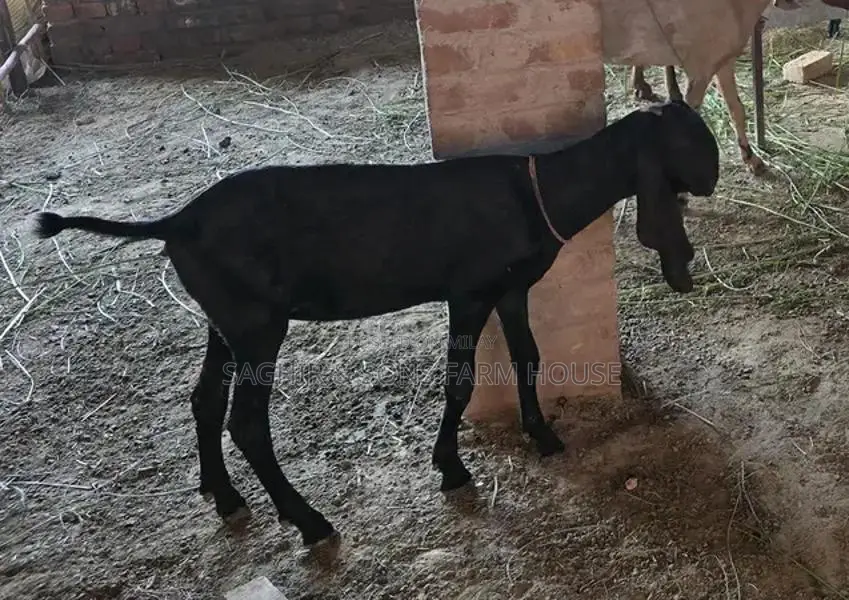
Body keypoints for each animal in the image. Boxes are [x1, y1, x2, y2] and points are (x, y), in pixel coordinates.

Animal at [32, 100, 719, 549]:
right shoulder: (469, 291)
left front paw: (543, 435)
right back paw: (309, 522)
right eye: (692, 140)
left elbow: (529, 356)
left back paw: (225, 498)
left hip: (222, 319)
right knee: (246, 422)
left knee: (204, 399)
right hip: (257, 324)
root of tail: (175, 221)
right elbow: (461, 381)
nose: (713, 177)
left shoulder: (511, 288)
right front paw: (450, 467)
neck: (538, 190)